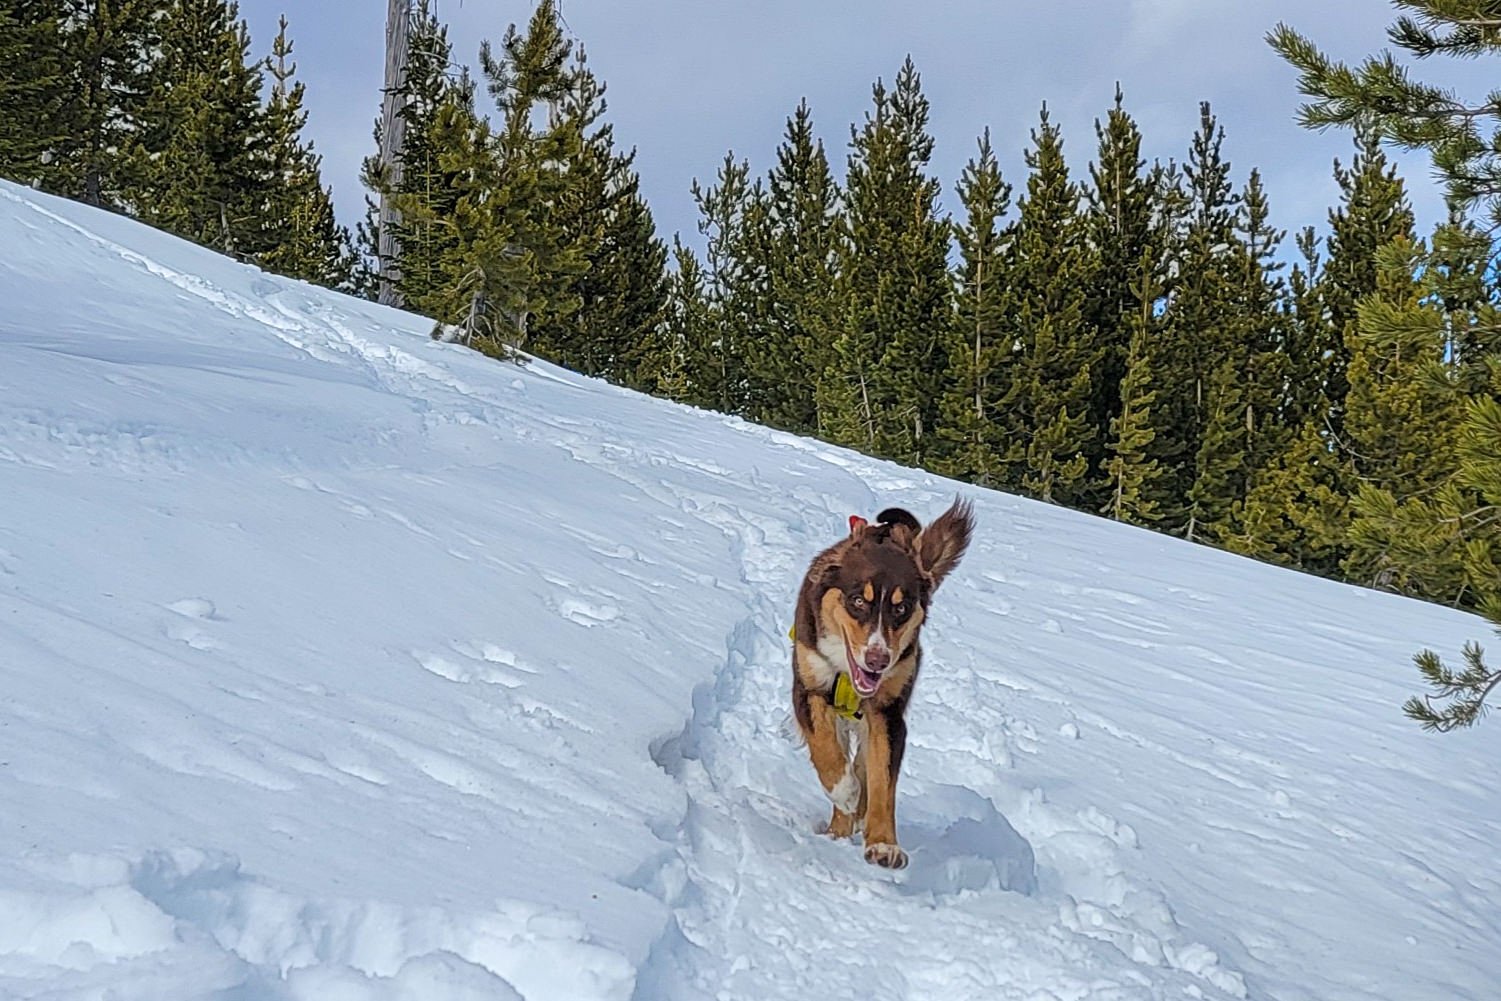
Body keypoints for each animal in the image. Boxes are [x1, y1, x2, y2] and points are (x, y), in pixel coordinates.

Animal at [792, 501, 978, 870]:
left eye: (901, 608)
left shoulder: (886, 714)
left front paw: (883, 843)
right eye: (857, 601)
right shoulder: (808, 687)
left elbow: (882, 782)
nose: (878, 660)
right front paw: (845, 793)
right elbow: (826, 752)